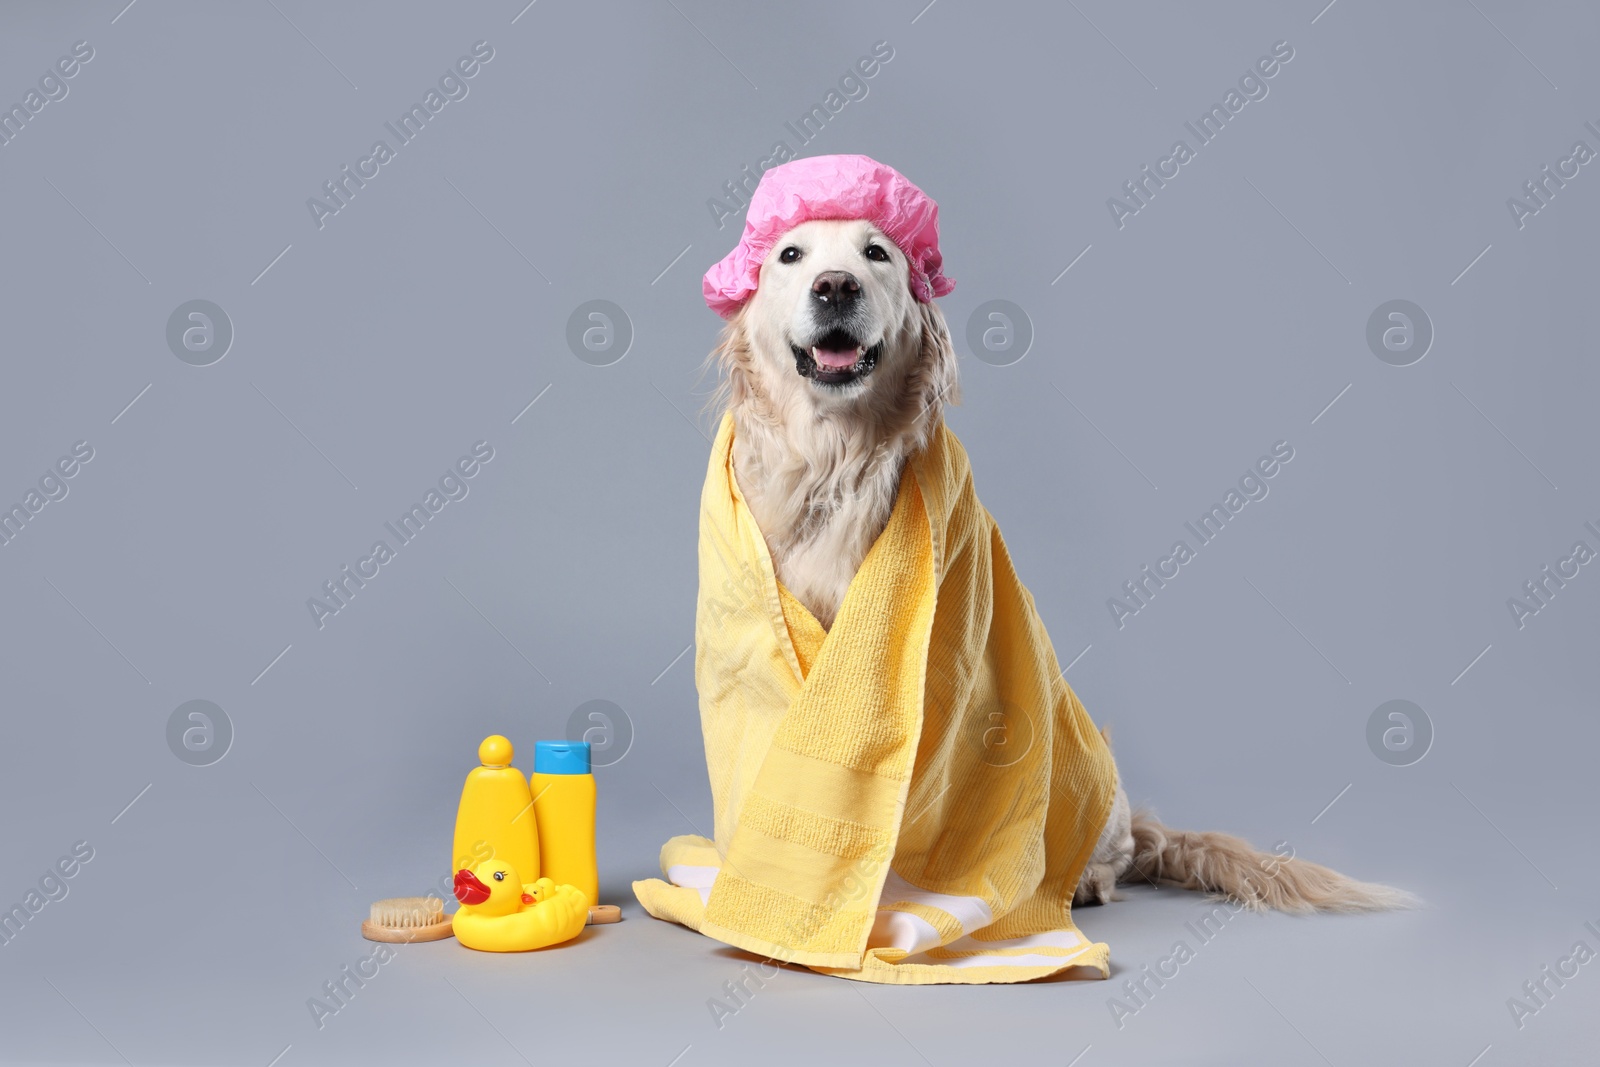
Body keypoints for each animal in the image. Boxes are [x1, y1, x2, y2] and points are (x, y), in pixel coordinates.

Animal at [700, 219, 1414, 921]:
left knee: (1111, 858)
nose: (835, 286)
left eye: (876, 254)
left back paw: (1086, 881)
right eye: (791, 255)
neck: (831, 466)